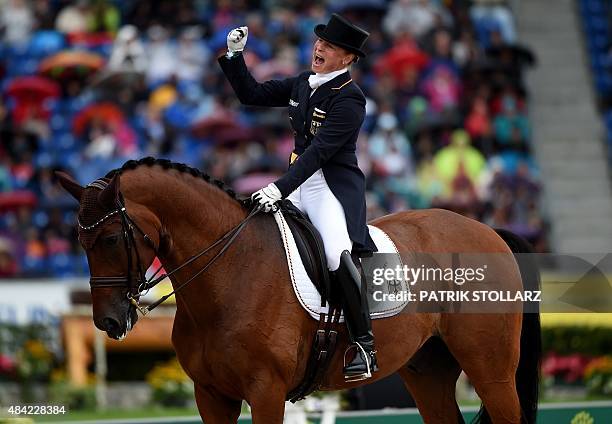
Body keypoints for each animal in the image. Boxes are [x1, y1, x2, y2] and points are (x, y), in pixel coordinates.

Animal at [55, 158, 536, 424]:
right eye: (79, 240)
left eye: (110, 240)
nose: (109, 321)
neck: (229, 272)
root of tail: (487, 230)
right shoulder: (211, 396)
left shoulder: (266, 392)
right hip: (427, 369)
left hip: (490, 369)